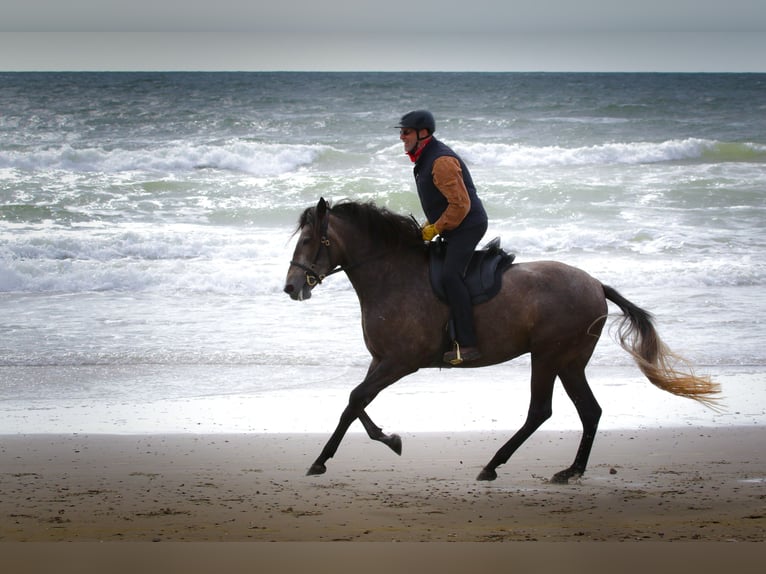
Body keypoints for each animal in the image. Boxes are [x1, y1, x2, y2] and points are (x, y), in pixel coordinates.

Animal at [283, 198, 720, 483]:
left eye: (308, 241)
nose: (290, 287)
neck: (392, 275)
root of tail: (596, 284)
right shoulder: (382, 361)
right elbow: (354, 403)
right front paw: (383, 441)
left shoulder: (399, 362)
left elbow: (356, 399)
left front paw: (330, 457)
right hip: (570, 362)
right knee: (590, 411)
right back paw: (571, 470)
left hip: (548, 357)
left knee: (541, 411)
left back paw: (493, 465)